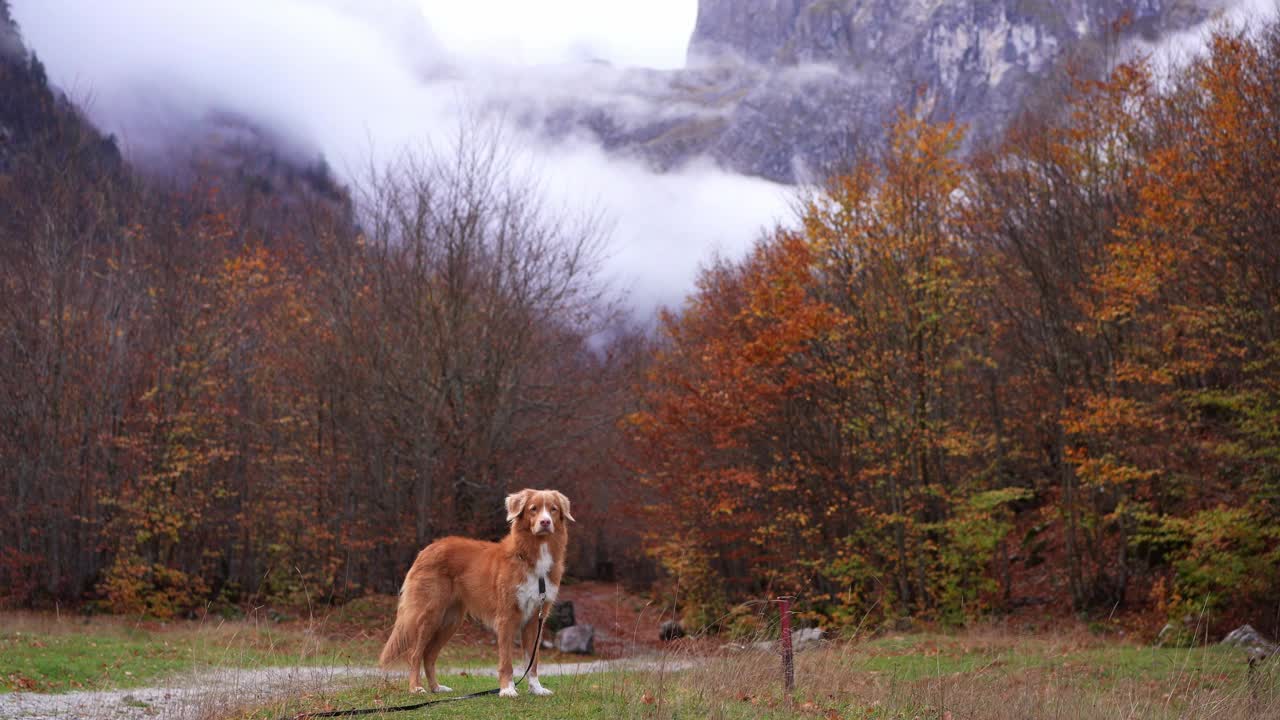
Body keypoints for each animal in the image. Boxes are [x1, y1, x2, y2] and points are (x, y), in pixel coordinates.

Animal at [376, 486, 573, 696]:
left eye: (553, 509)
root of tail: (428, 548)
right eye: (533, 509)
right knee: (415, 654)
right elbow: (507, 661)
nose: (545, 522)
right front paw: (507, 689)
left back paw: (436, 687)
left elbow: (533, 660)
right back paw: (415, 687)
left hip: (450, 621)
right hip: (430, 615)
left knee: (429, 655)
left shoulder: (535, 620)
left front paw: (536, 688)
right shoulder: (506, 618)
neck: (530, 556)